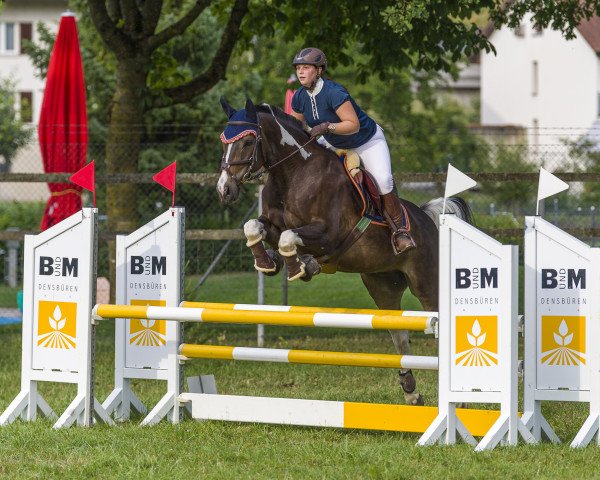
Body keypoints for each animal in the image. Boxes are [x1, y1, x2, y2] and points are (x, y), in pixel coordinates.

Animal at [216, 97, 474, 404]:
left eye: (247, 141)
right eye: (223, 141)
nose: (224, 189)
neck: (293, 174)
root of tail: (426, 218)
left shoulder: (328, 234)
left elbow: (289, 238)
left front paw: (299, 267)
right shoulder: (273, 225)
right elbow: (253, 227)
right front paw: (270, 264)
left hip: (426, 284)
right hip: (382, 286)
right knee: (399, 334)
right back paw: (411, 392)